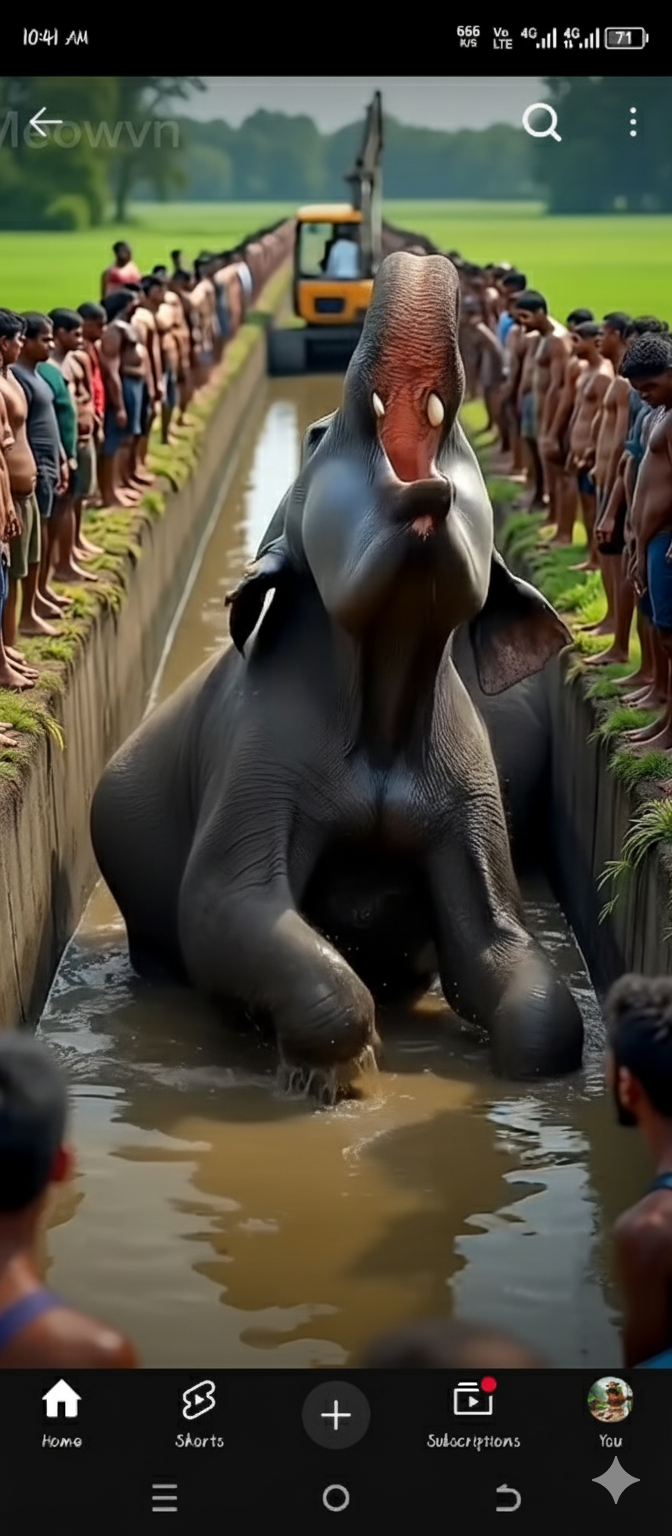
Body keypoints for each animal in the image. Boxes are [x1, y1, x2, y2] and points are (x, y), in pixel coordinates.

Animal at [90, 250, 584, 1090]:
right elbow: (224, 906)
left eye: (466, 444)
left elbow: (498, 945)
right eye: (319, 432)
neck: (384, 687)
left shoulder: (473, 790)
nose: (416, 256)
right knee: (166, 952)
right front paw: (337, 1081)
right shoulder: (254, 758)